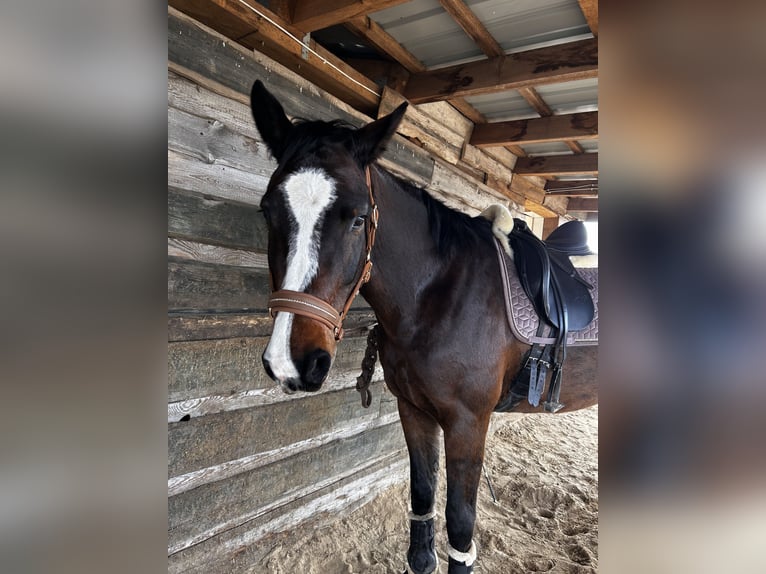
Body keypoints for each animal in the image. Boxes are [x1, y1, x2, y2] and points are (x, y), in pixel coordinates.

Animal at [249, 79, 597, 574]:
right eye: (267, 210)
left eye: (359, 217)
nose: (290, 362)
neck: (438, 296)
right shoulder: (413, 411)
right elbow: (422, 502)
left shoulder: (468, 422)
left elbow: (460, 524)